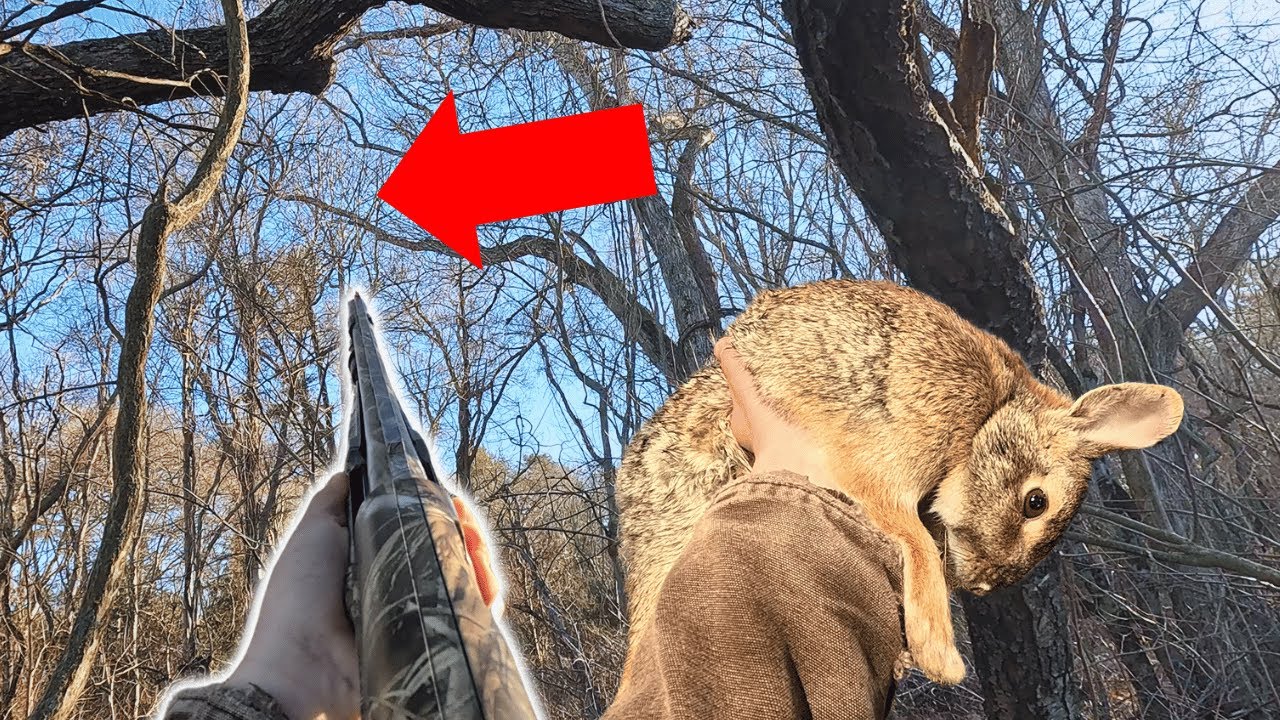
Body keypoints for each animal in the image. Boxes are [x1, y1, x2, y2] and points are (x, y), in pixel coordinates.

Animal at [616, 279, 1184, 685]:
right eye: (1035, 502)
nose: (984, 582)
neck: (986, 418)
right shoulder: (887, 459)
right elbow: (917, 543)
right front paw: (941, 658)